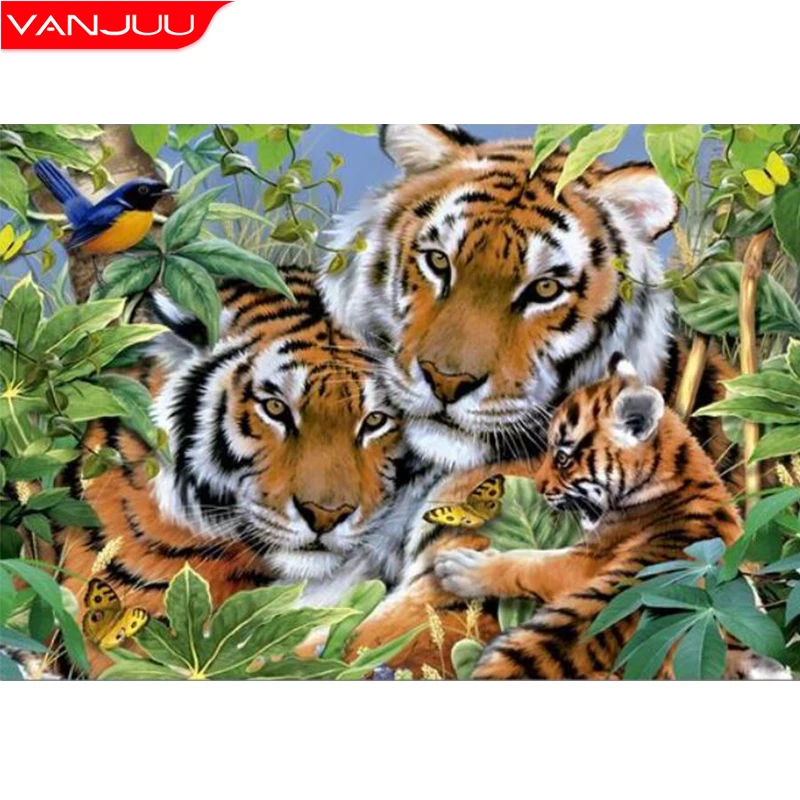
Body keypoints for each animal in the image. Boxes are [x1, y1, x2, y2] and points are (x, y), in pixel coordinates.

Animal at [433, 354, 789, 679]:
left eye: (562, 457)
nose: (537, 486)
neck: (676, 472)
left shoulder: (586, 558)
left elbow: (527, 561)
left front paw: (459, 567)